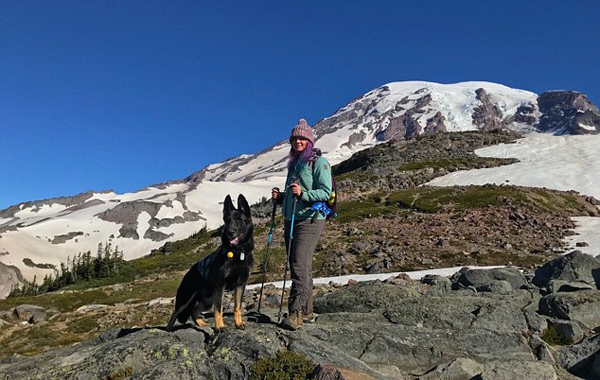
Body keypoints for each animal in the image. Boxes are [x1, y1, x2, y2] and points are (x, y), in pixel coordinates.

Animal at [165, 194, 254, 332]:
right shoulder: (220, 286)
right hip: (186, 299)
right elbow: (219, 309)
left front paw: (238, 323)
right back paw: (168, 330)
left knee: (193, 311)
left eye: (239, 221)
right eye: (227, 221)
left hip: (207, 300)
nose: (230, 232)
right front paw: (220, 326)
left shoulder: (240, 284)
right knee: (176, 313)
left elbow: (237, 306)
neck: (238, 252)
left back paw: (202, 324)